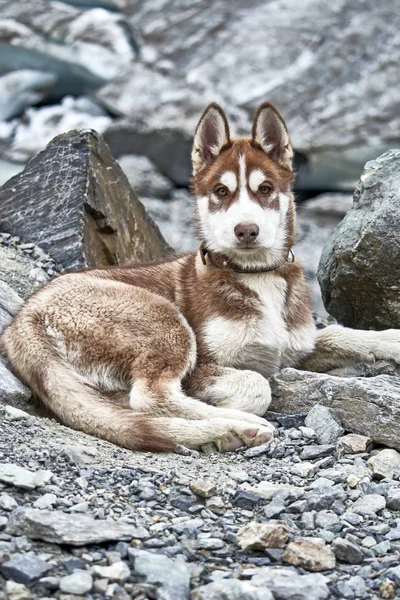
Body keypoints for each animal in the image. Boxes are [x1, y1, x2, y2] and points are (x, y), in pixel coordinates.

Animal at [0, 103, 400, 452]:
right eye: (221, 192)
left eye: (265, 189)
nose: (246, 230)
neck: (254, 275)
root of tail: (25, 316)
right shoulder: (206, 365)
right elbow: (257, 384)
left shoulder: (296, 348)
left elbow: (336, 333)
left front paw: (389, 340)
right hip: (164, 322)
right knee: (148, 398)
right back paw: (234, 427)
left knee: (120, 408)